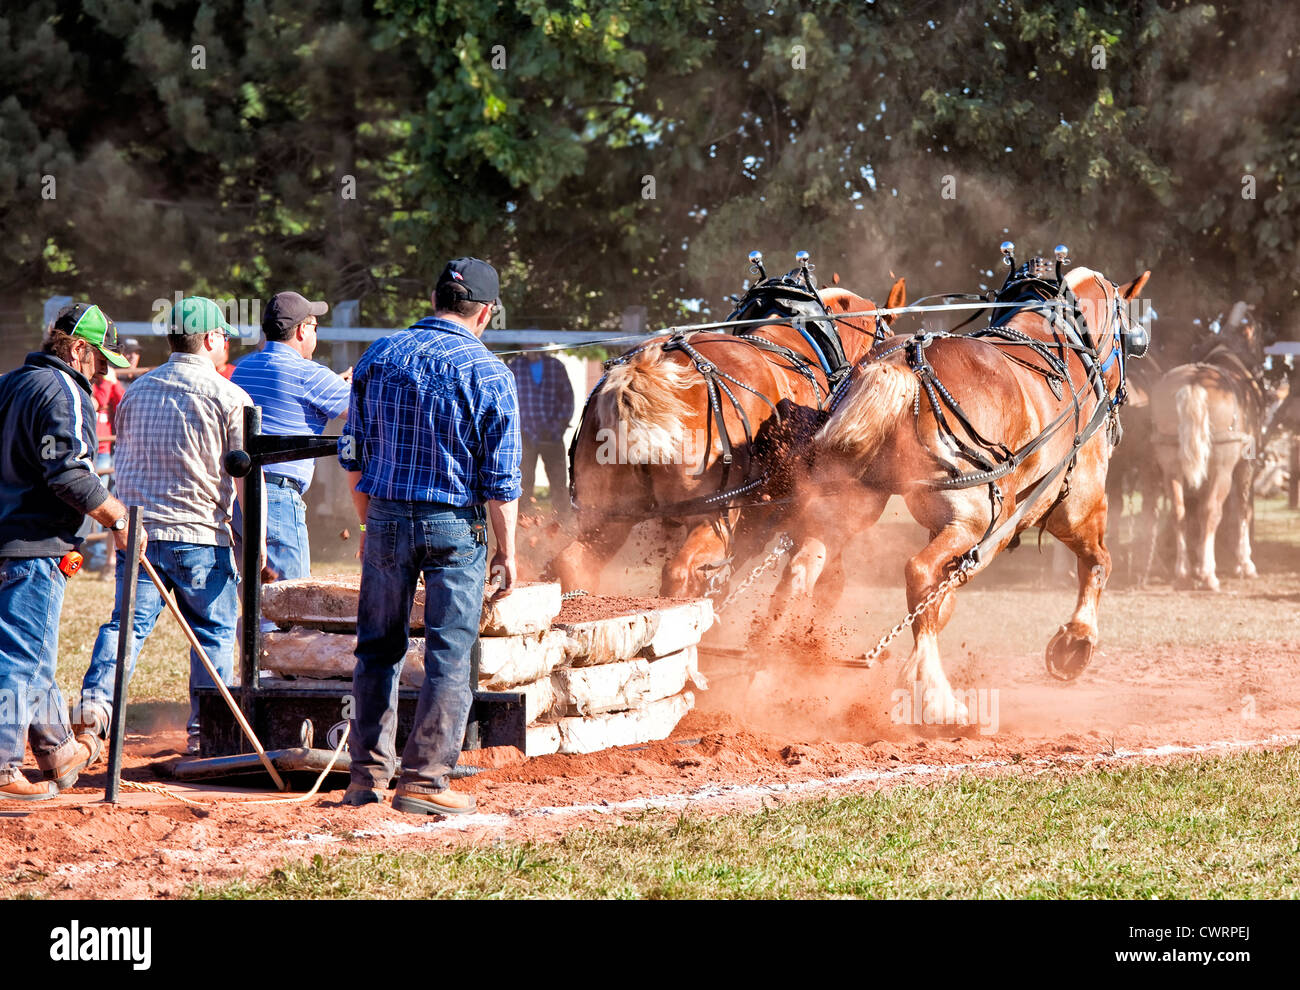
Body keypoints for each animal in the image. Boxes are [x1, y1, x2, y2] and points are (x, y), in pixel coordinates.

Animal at [794, 258, 1150, 724]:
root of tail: (906, 364)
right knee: (918, 572)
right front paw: (1075, 644)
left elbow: (941, 602)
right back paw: (939, 698)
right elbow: (1098, 563)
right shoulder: (1072, 507)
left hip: (853, 502)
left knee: (804, 565)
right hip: (980, 517)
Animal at [1150, 303, 1266, 590]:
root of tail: (1193, 384)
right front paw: (1244, 563)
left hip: (1171, 465)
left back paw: (1182, 571)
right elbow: (1243, 510)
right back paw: (1208, 573)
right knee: (1212, 511)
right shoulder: (1245, 465)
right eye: (1258, 336)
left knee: (1179, 511)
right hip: (1223, 468)